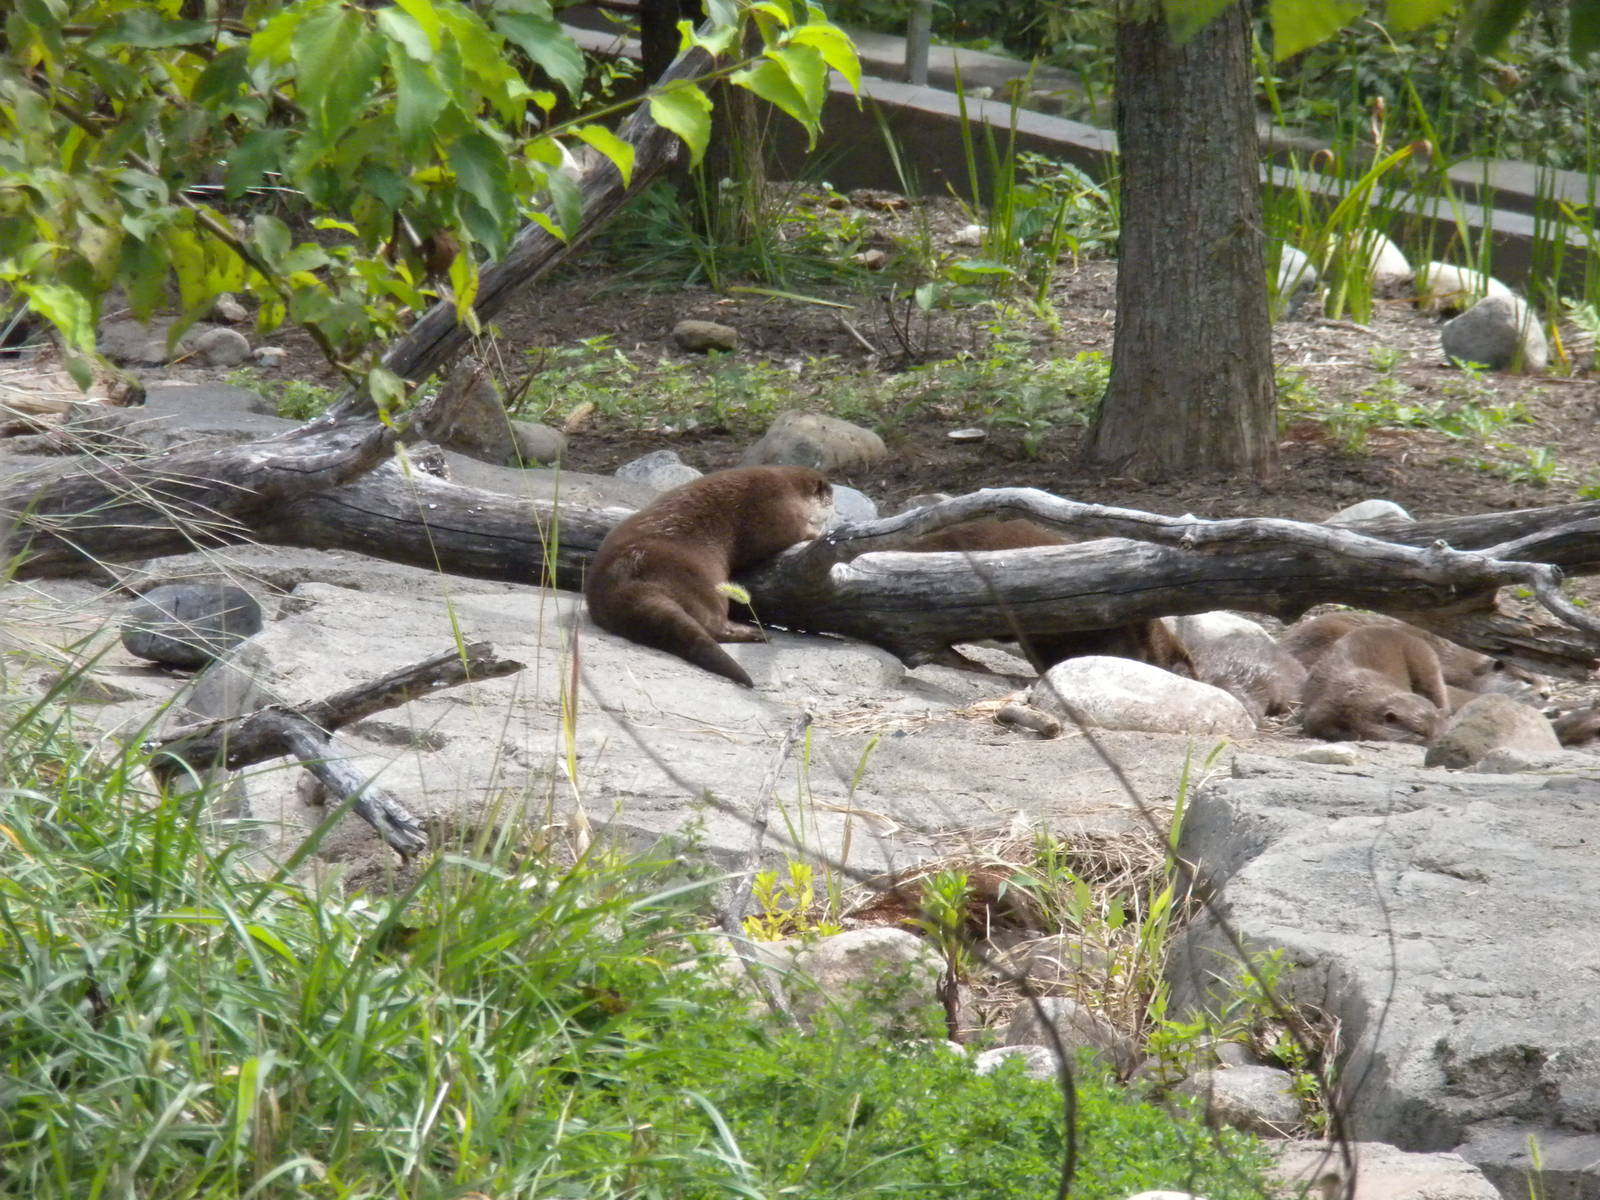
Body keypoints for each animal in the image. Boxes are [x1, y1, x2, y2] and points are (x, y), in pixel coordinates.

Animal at [584, 466, 834, 687]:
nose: (833, 501)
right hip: (704, 587)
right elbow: (790, 533)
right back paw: (757, 634)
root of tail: (624, 580)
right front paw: (817, 532)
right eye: (830, 498)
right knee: (714, 627)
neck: (789, 488)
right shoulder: (774, 510)